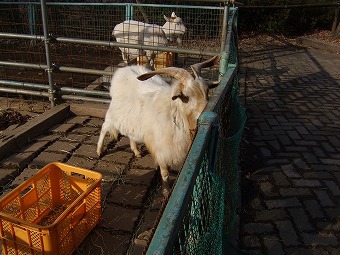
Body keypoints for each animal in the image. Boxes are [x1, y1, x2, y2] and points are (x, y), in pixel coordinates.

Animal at [96, 56, 218, 195]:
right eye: (186, 96)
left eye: (207, 91)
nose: (207, 110)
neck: (176, 114)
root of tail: (123, 70)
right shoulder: (162, 149)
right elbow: (165, 173)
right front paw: (166, 192)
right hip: (113, 115)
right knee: (104, 127)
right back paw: (99, 150)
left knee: (131, 135)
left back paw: (136, 151)